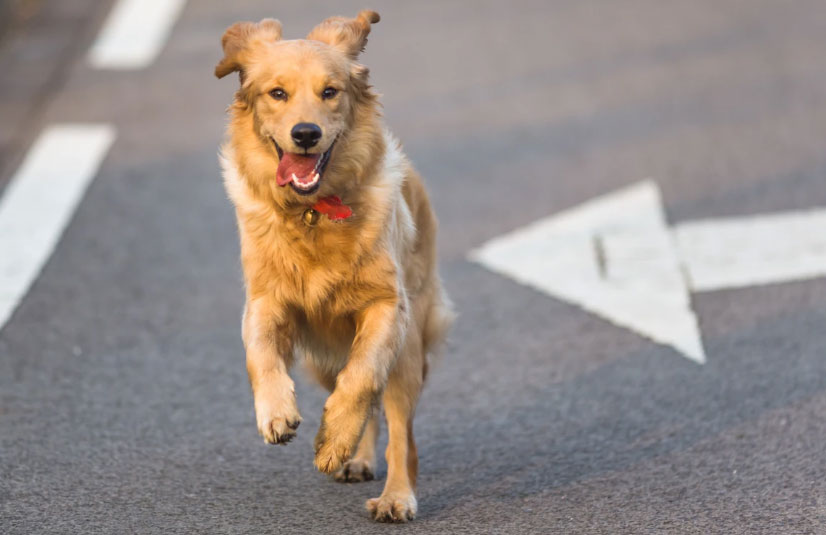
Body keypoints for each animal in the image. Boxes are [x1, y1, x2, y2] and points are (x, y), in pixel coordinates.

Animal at [214, 10, 450, 524]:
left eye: (330, 91)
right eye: (277, 93)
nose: (305, 133)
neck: (312, 213)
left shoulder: (387, 307)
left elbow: (361, 379)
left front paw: (335, 439)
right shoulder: (264, 300)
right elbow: (259, 354)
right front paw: (275, 412)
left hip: (407, 349)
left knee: (397, 428)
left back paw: (393, 495)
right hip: (319, 360)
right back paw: (356, 459)